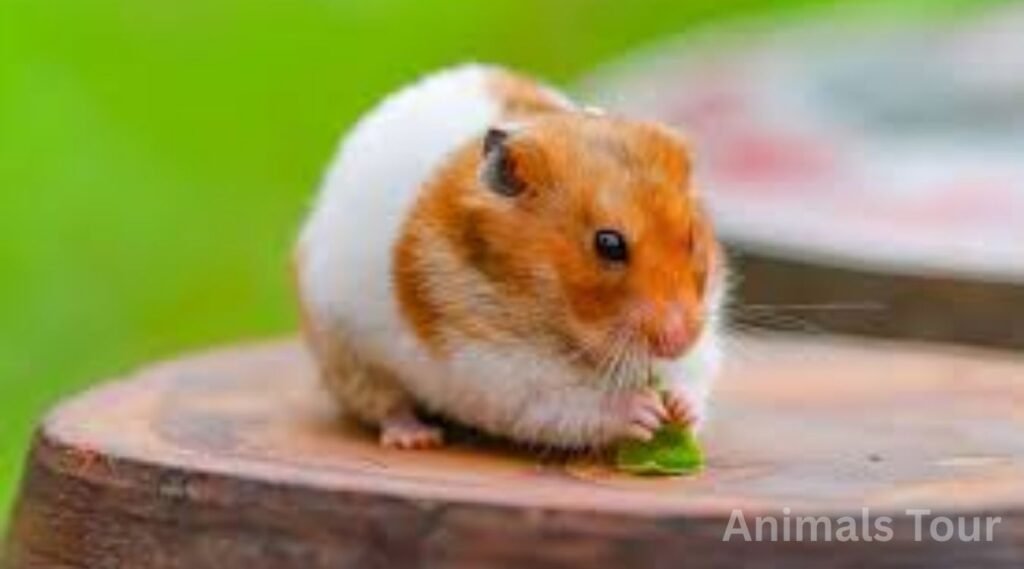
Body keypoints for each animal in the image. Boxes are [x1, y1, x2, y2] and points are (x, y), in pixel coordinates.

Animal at [295, 64, 727, 450]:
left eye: (691, 237)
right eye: (608, 244)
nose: (680, 339)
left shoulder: (702, 324)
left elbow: (689, 378)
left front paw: (679, 411)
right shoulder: (493, 366)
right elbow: (568, 401)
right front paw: (644, 411)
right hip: (345, 353)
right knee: (384, 405)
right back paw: (415, 438)